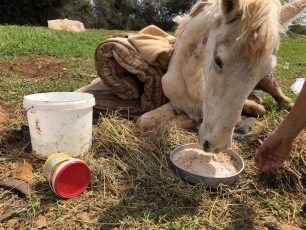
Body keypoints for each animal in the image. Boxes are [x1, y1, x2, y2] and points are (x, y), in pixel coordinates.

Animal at [139, 0, 306, 153]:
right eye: (218, 60)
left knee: (279, 96)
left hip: (268, 81)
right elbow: (143, 121)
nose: (217, 146)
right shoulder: (175, 104)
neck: (190, 80)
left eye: (265, 68)